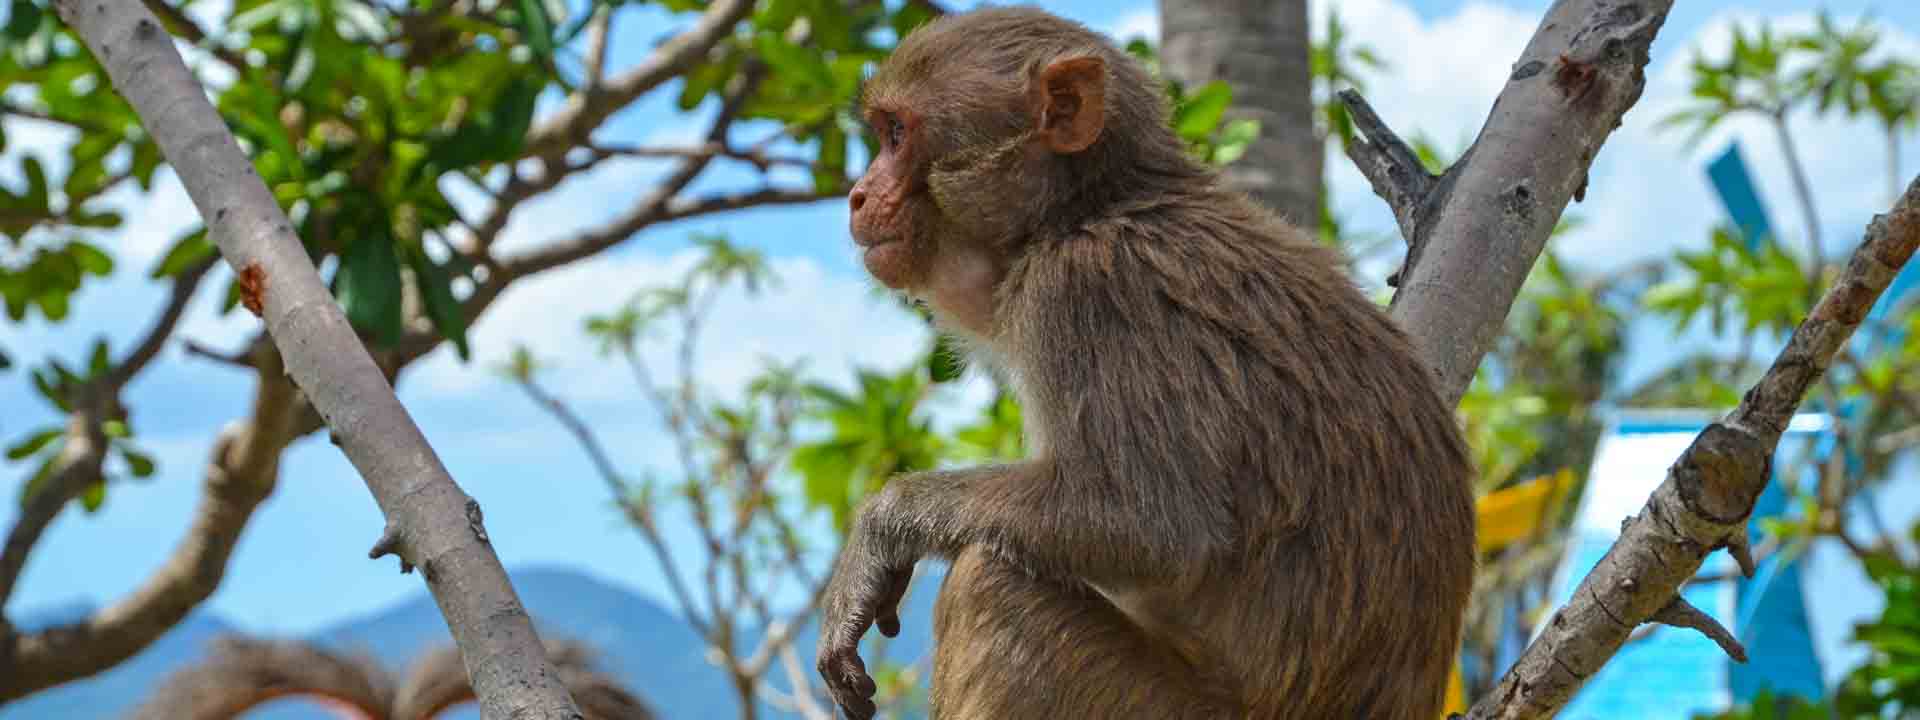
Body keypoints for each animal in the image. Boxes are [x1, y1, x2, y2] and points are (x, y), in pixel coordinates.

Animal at [816, 7, 1477, 720]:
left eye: (897, 134)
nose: (857, 196)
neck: (1084, 212)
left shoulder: (1085, 293)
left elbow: (1156, 525)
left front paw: (883, 525)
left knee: (989, 579)